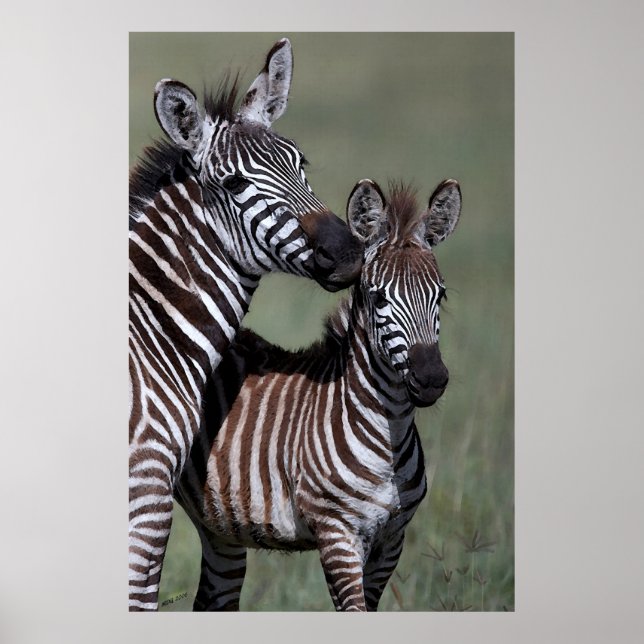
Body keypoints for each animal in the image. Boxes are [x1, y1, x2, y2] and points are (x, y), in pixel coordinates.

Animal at [176, 177, 462, 611]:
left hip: (220, 526)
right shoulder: (337, 532)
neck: (389, 432)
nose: (430, 378)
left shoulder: (392, 540)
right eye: (378, 297)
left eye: (440, 294)